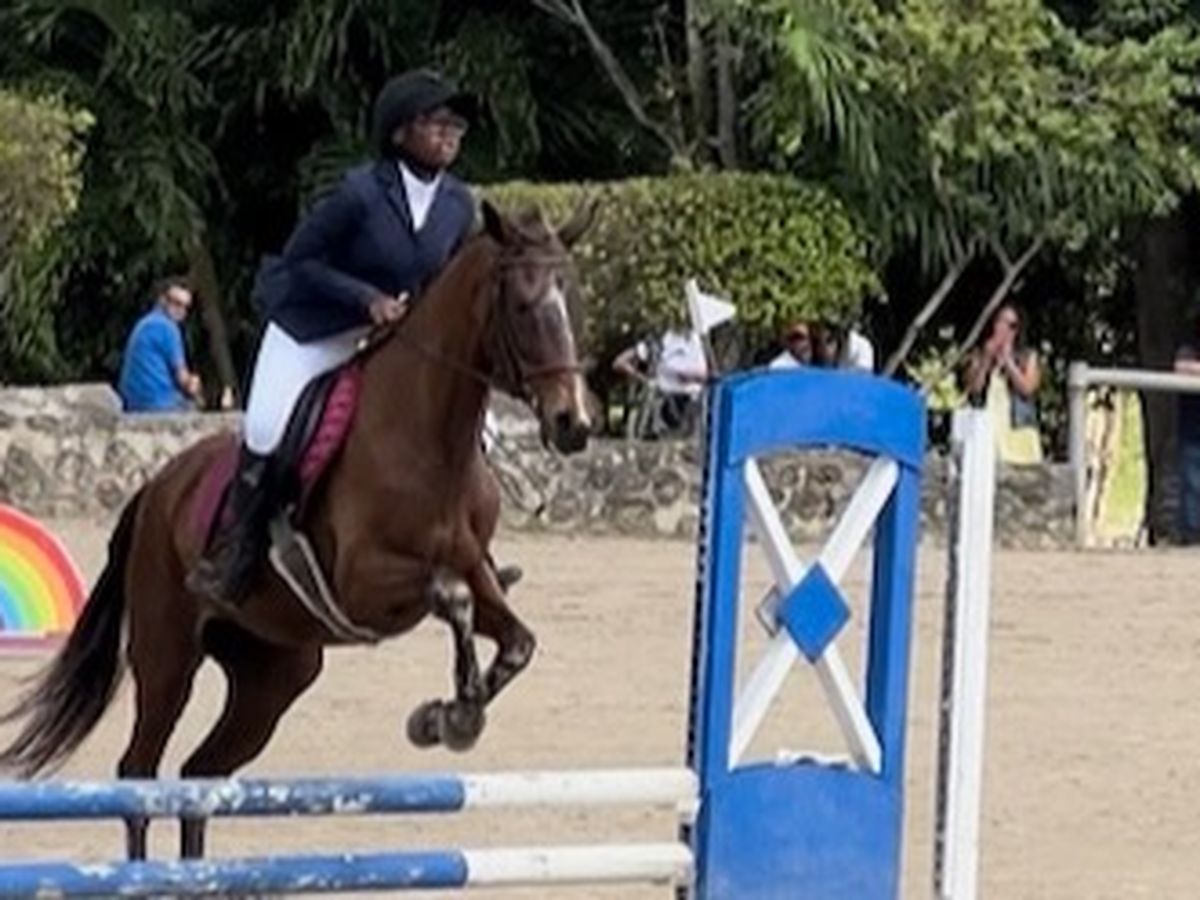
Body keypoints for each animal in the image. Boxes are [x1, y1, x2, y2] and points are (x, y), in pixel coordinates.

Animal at [0, 199, 596, 860]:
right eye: (522, 306)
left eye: (574, 300)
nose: (573, 424)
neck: (432, 439)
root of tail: (157, 489)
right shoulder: (364, 583)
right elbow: (453, 596)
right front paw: (454, 716)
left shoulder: (476, 569)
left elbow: (515, 639)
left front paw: (446, 715)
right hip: (167, 653)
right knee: (140, 774)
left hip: (275, 673)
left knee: (199, 776)